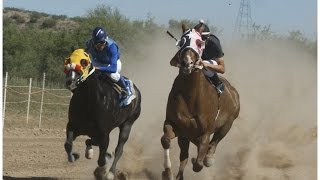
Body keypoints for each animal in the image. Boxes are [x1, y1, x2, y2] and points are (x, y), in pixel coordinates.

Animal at [162, 26, 240, 179]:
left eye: (199, 43)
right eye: (182, 41)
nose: (187, 63)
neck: (191, 97)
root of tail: (234, 93)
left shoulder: (205, 133)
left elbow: (198, 164)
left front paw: (201, 159)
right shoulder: (176, 125)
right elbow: (166, 140)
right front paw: (167, 172)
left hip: (228, 124)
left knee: (214, 143)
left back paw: (209, 158)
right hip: (185, 136)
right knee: (184, 156)